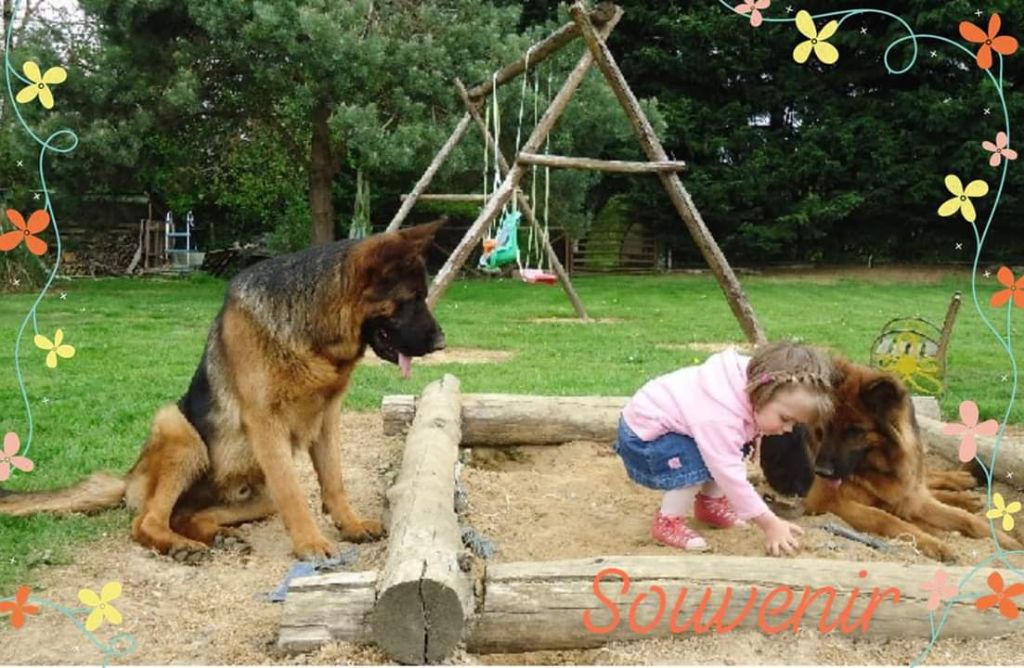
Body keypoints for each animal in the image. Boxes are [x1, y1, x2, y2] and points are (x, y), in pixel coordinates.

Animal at [1, 221, 448, 561]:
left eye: (423, 296)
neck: (312, 330)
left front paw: (349, 525)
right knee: (147, 522)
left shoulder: (326, 420)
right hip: (180, 432)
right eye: (410, 299)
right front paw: (310, 543)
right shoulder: (267, 425)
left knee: (185, 516)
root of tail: (128, 479)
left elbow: (334, 480)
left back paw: (217, 536)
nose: (442, 343)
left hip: (254, 494)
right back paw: (181, 547)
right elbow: (295, 494)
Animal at [765, 356, 1019, 561]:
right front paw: (933, 542)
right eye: (824, 429)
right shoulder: (828, 503)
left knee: (926, 480)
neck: (874, 469)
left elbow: (966, 519)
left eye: (855, 431)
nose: (821, 472)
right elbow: (886, 518)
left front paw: (1007, 541)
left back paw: (964, 484)